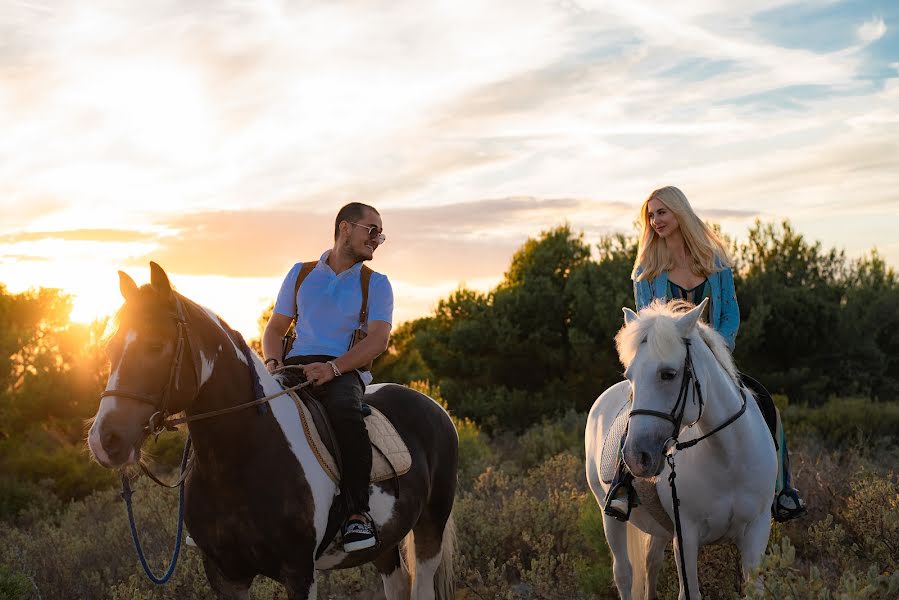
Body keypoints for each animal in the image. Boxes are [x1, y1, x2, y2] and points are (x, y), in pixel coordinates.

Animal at [88, 264, 458, 600]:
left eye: (155, 345)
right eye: (109, 348)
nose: (105, 440)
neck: (240, 458)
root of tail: (433, 405)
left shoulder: (299, 573)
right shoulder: (226, 575)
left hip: (430, 528)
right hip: (386, 542)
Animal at [588, 298, 776, 596]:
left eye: (668, 374)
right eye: (630, 376)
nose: (635, 457)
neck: (728, 460)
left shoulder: (757, 531)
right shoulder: (685, 536)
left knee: (651, 563)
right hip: (610, 515)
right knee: (624, 574)